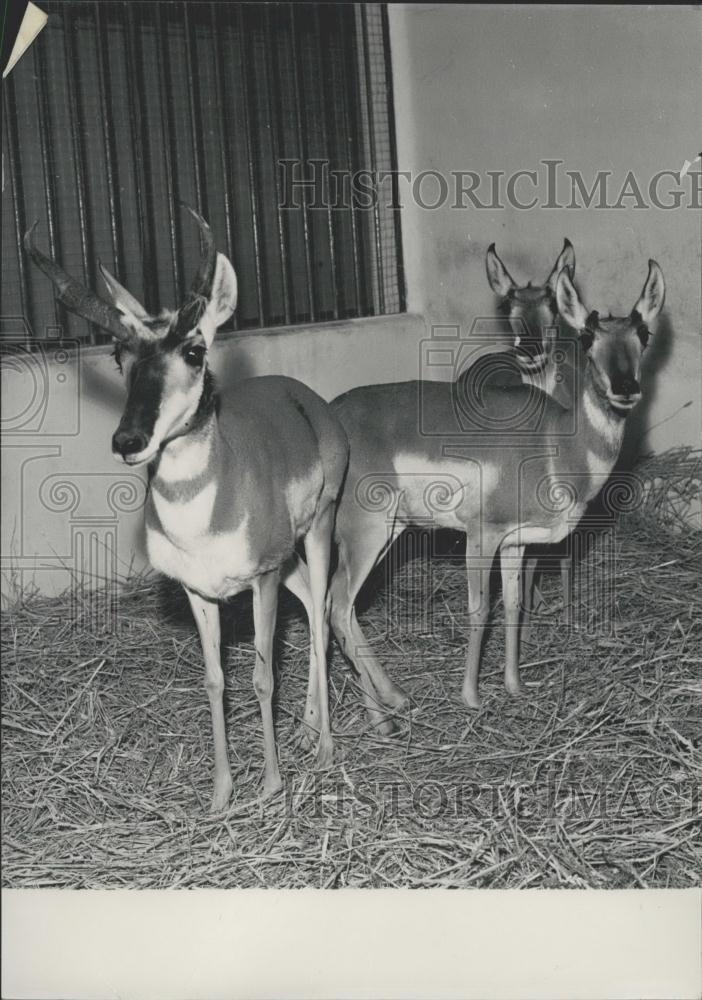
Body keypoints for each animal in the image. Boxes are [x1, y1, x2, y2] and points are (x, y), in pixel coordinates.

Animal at [26, 207, 350, 808]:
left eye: (194, 351)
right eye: (120, 355)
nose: (128, 440)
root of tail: (308, 400)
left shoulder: (261, 580)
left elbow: (263, 677)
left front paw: (270, 785)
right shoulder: (201, 592)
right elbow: (215, 680)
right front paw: (221, 793)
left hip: (316, 534)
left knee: (320, 614)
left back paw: (322, 747)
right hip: (289, 561)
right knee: (313, 612)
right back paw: (306, 731)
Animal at [320, 256, 664, 728]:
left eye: (643, 334)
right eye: (588, 336)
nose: (626, 388)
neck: (553, 442)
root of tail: (329, 418)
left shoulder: (515, 543)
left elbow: (514, 606)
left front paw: (515, 686)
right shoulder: (482, 536)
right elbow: (480, 609)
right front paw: (471, 696)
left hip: (386, 532)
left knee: (342, 607)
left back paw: (395, 700)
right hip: (367, 533)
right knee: (339, 604)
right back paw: (383, 717)